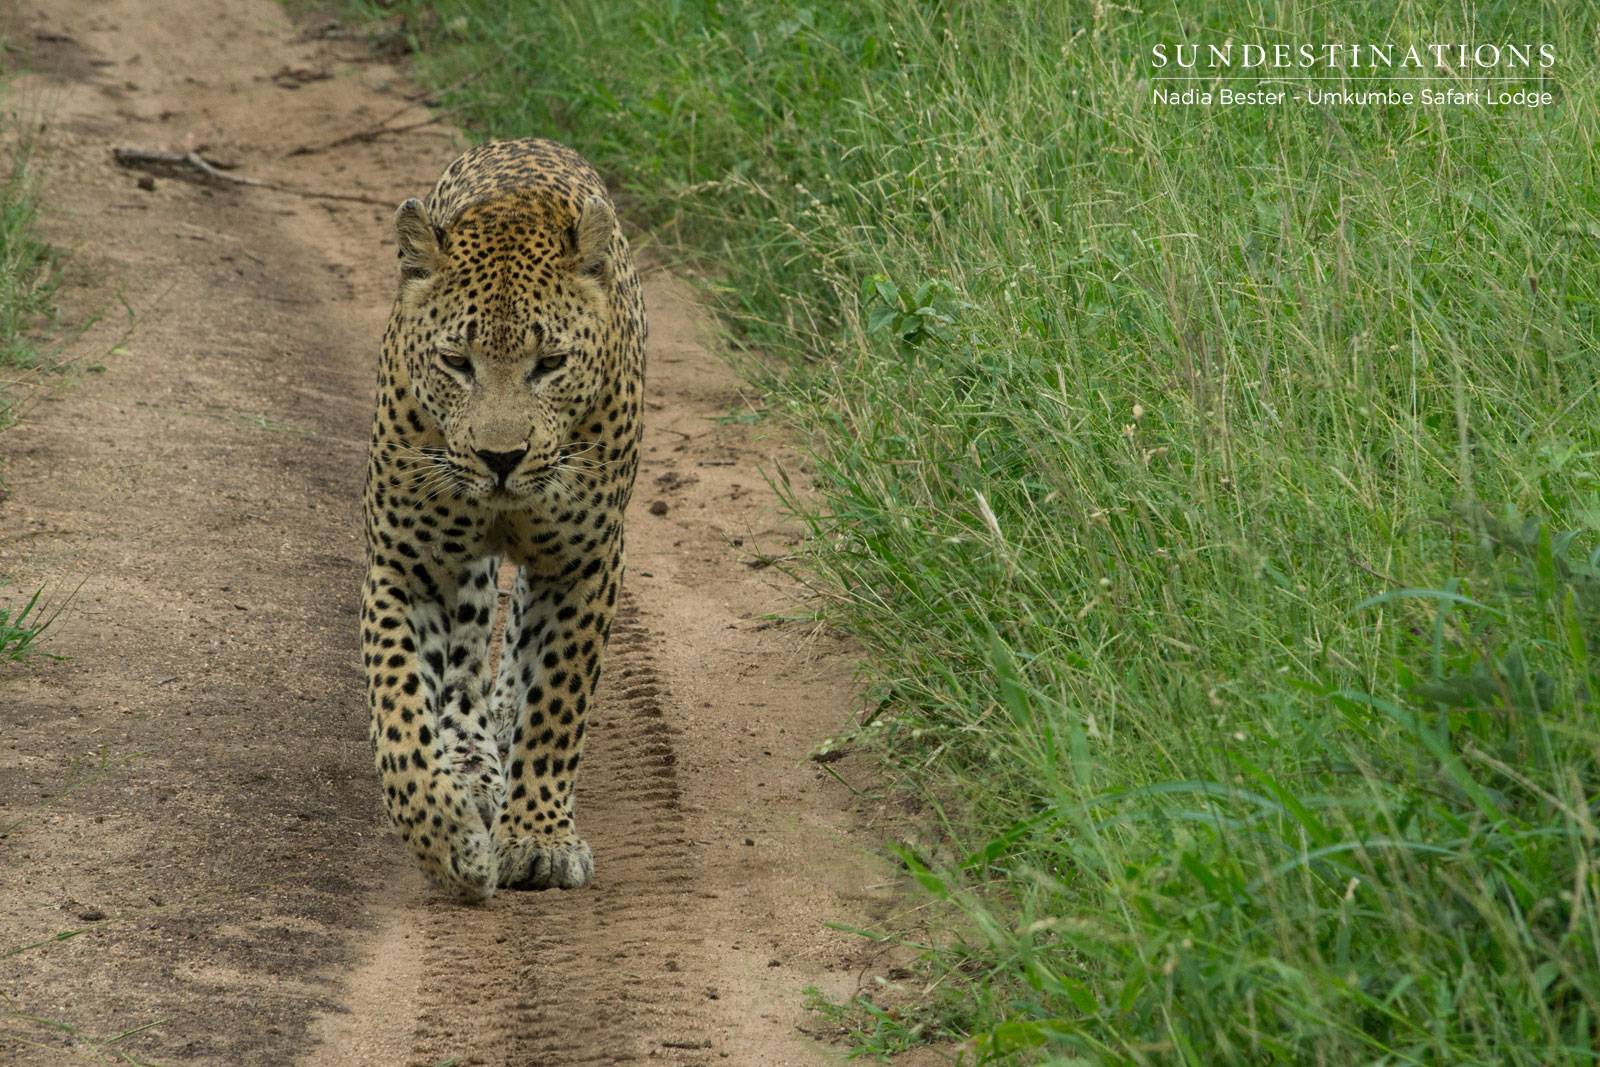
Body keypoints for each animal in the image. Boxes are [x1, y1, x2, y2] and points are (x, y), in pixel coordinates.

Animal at [361, 138, 645, 903]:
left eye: (551, 363)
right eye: (456, 361)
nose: (500, 457)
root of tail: (524, 141)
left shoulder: (584, 564)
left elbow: (558, 705)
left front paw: (539, 840)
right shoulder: (404, 563)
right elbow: (399, 712)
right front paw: (449, 841)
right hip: (459, 573)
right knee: (461, 672)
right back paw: (473, 764)